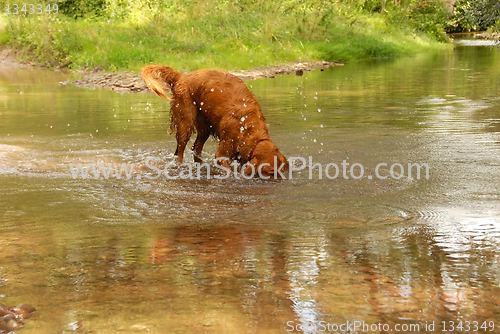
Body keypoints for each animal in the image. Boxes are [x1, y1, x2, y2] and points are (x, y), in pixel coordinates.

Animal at [141, 64, 290, 179]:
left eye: (282, 170)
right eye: (270, 172)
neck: (247, 128)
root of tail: (182, 77)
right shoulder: (222, 152)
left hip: (204, 127)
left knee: (195, 148)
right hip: (186, 122)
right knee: (180, 151)